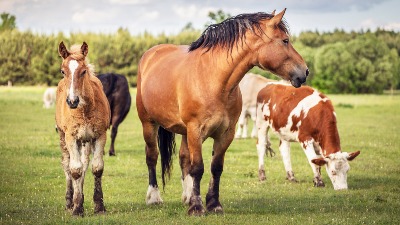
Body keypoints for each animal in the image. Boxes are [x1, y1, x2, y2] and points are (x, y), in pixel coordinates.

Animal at [55, 41, 110, 216]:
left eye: (83, 71)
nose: (72, 101)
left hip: (85, 140)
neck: (84, 109)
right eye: (63, 71)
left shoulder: (100, 135)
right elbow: (75, 170)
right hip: (63, 136)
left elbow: (96, 168)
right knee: (67, 164)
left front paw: (99, 206)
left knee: (85, 163)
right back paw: (69, 201)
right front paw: (77, 207)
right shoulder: (71, 136)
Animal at [136, 9, 308, 216]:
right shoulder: (196, 130)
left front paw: (213, 204)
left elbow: (215, 167)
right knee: (152, 156)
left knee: (183, 158)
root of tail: (151, 54)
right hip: (149, 124)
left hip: (184, 132)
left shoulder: (226, 133)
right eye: (285, 40)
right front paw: (197, 207)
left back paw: (187, 196)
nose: (305, 71)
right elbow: (198, 168)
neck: (214, 80)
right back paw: (154, 197)